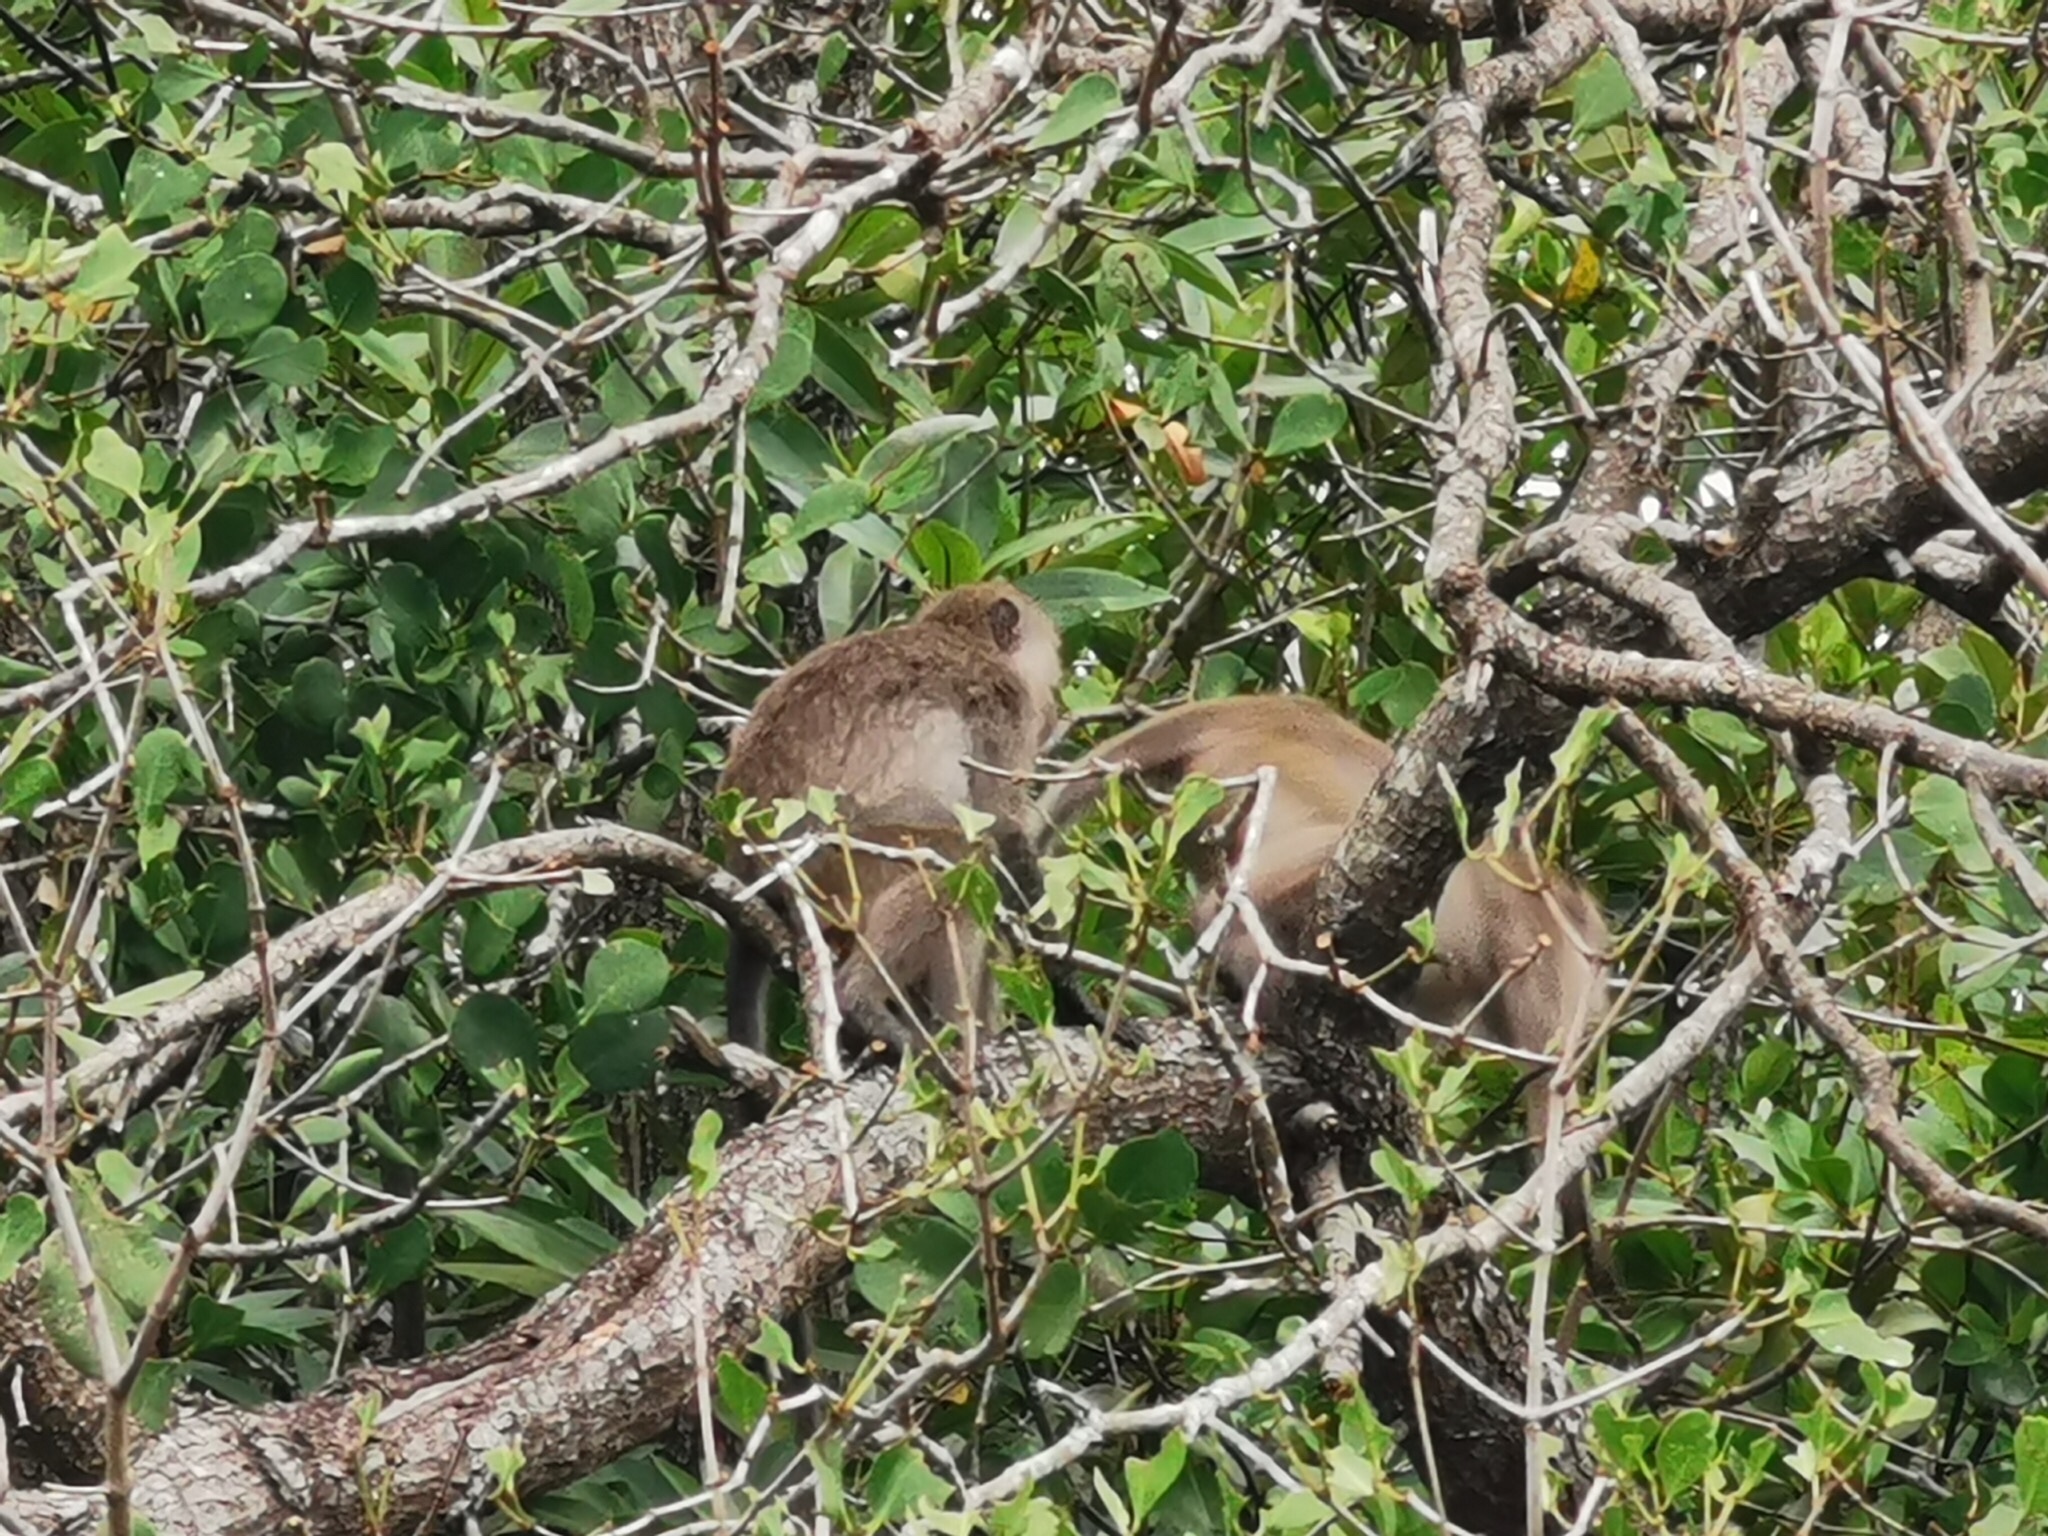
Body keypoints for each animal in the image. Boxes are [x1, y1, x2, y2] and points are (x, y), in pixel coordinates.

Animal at [720, 581, 1064, 1064]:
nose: (1055, 708)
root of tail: (745, 861)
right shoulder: (1002, 708)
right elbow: (998, 822)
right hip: (836, 865)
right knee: (957, 855)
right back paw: (865, 1002)